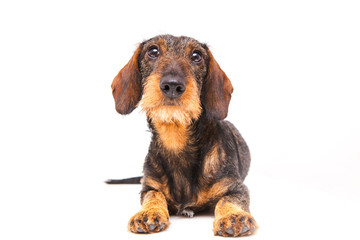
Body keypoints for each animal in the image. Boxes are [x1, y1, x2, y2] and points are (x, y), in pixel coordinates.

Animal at [108, 34, 258, 237]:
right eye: (153, 51)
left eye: (196, 56)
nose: (172, 85)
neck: (176, 139)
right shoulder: (148, 187)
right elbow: (153, 195)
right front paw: (148, 212)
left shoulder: (236, 187)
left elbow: (228, 200)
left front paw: (233, 217)